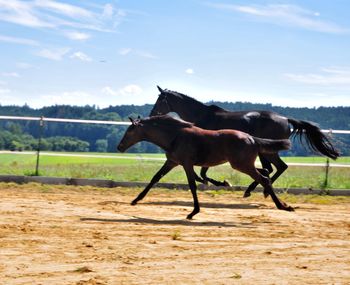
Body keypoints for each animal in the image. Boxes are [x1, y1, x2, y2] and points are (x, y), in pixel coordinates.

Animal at [117, 114, 292, 219]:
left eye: (130, 131)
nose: (119, 147)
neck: (175, 136)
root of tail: (252, 138)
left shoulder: (187, 163)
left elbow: (192, 184)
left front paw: (193, 212)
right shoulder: (172, 162)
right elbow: (155, 178)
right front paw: (135, 200)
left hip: (242, 164)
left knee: (264, 177)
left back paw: (283, 206)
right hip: (244, 164)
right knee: (265, 172)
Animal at [150, 86, 340, 197]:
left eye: (160, 100)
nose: (152, 114)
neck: (202, 116)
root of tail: (286, 119)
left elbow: (203, 174)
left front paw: (223, 183)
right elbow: (201, 174)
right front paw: (219, 182)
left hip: (268, 151)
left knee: (276, 168)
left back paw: (254, 191)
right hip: (266, 151)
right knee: (275, 168)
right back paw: (259, 190)